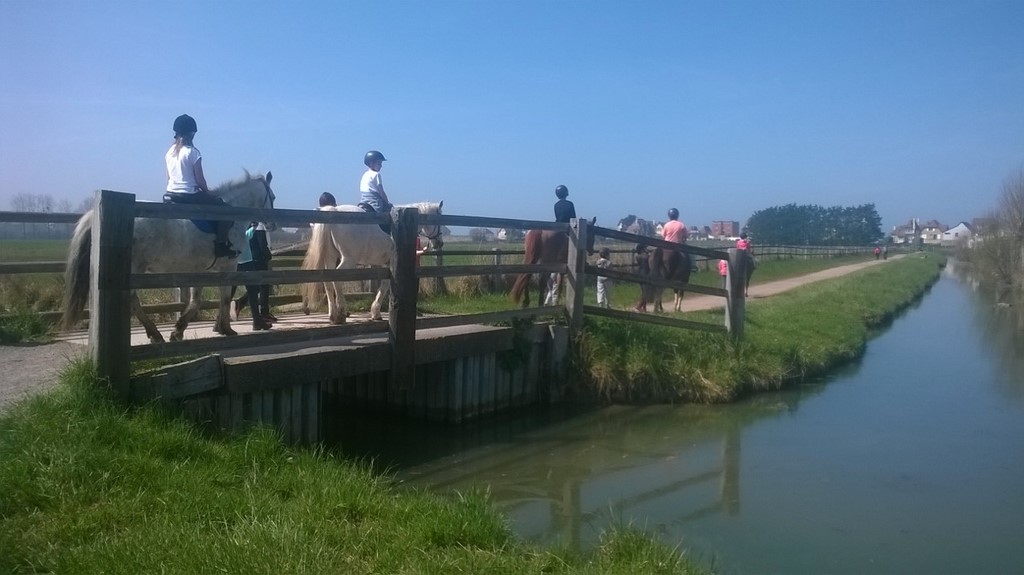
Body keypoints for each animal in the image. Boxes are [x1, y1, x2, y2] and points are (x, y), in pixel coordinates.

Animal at [61, 172, 276, 343]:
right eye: (272, 196)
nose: (272, 225)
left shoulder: (201, 269)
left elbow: (197, 300)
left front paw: (181, 330)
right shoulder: (228, 266)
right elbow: (222, 297)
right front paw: (226, 329)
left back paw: (154, 333)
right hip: (134, 267)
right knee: (132, 299)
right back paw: (154, 334)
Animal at [300, 202, 444, 323]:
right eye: (440, 222)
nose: (439, 243)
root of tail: (334, 211)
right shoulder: (390, 264)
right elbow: (385, 286)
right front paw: (376, 312)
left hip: (330, 256)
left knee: (328, 281)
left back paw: (333, 315)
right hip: (348, 259)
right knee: (337, 279)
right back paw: (341, 311)